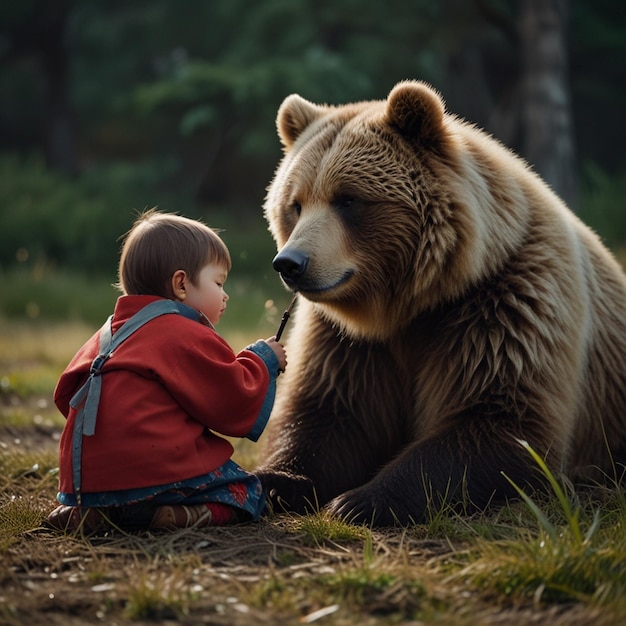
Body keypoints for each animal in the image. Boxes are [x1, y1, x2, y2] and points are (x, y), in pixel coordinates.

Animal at [254, 80, 624, 524]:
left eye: (348, 199)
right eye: (295, 204)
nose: (290, 263)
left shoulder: (508, 305)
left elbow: (501, 422)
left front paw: (360, 500)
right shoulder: (351, 342)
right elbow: (331, 413)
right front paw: (275, 482)